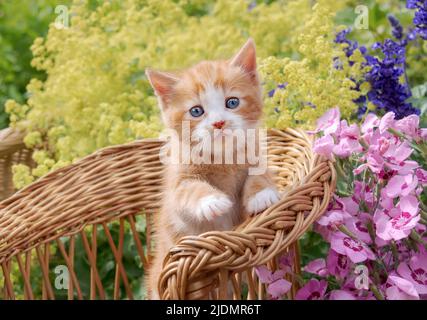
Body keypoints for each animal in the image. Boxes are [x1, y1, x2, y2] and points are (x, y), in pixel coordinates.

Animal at [146, 38, 280, 298]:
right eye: (196, 111)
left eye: (232, 102)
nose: (219, 123)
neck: (222, 159)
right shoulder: (177, 190)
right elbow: (188, 191)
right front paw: (212, 201)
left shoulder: (258, 155)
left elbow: (260, 173)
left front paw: (261, 195)